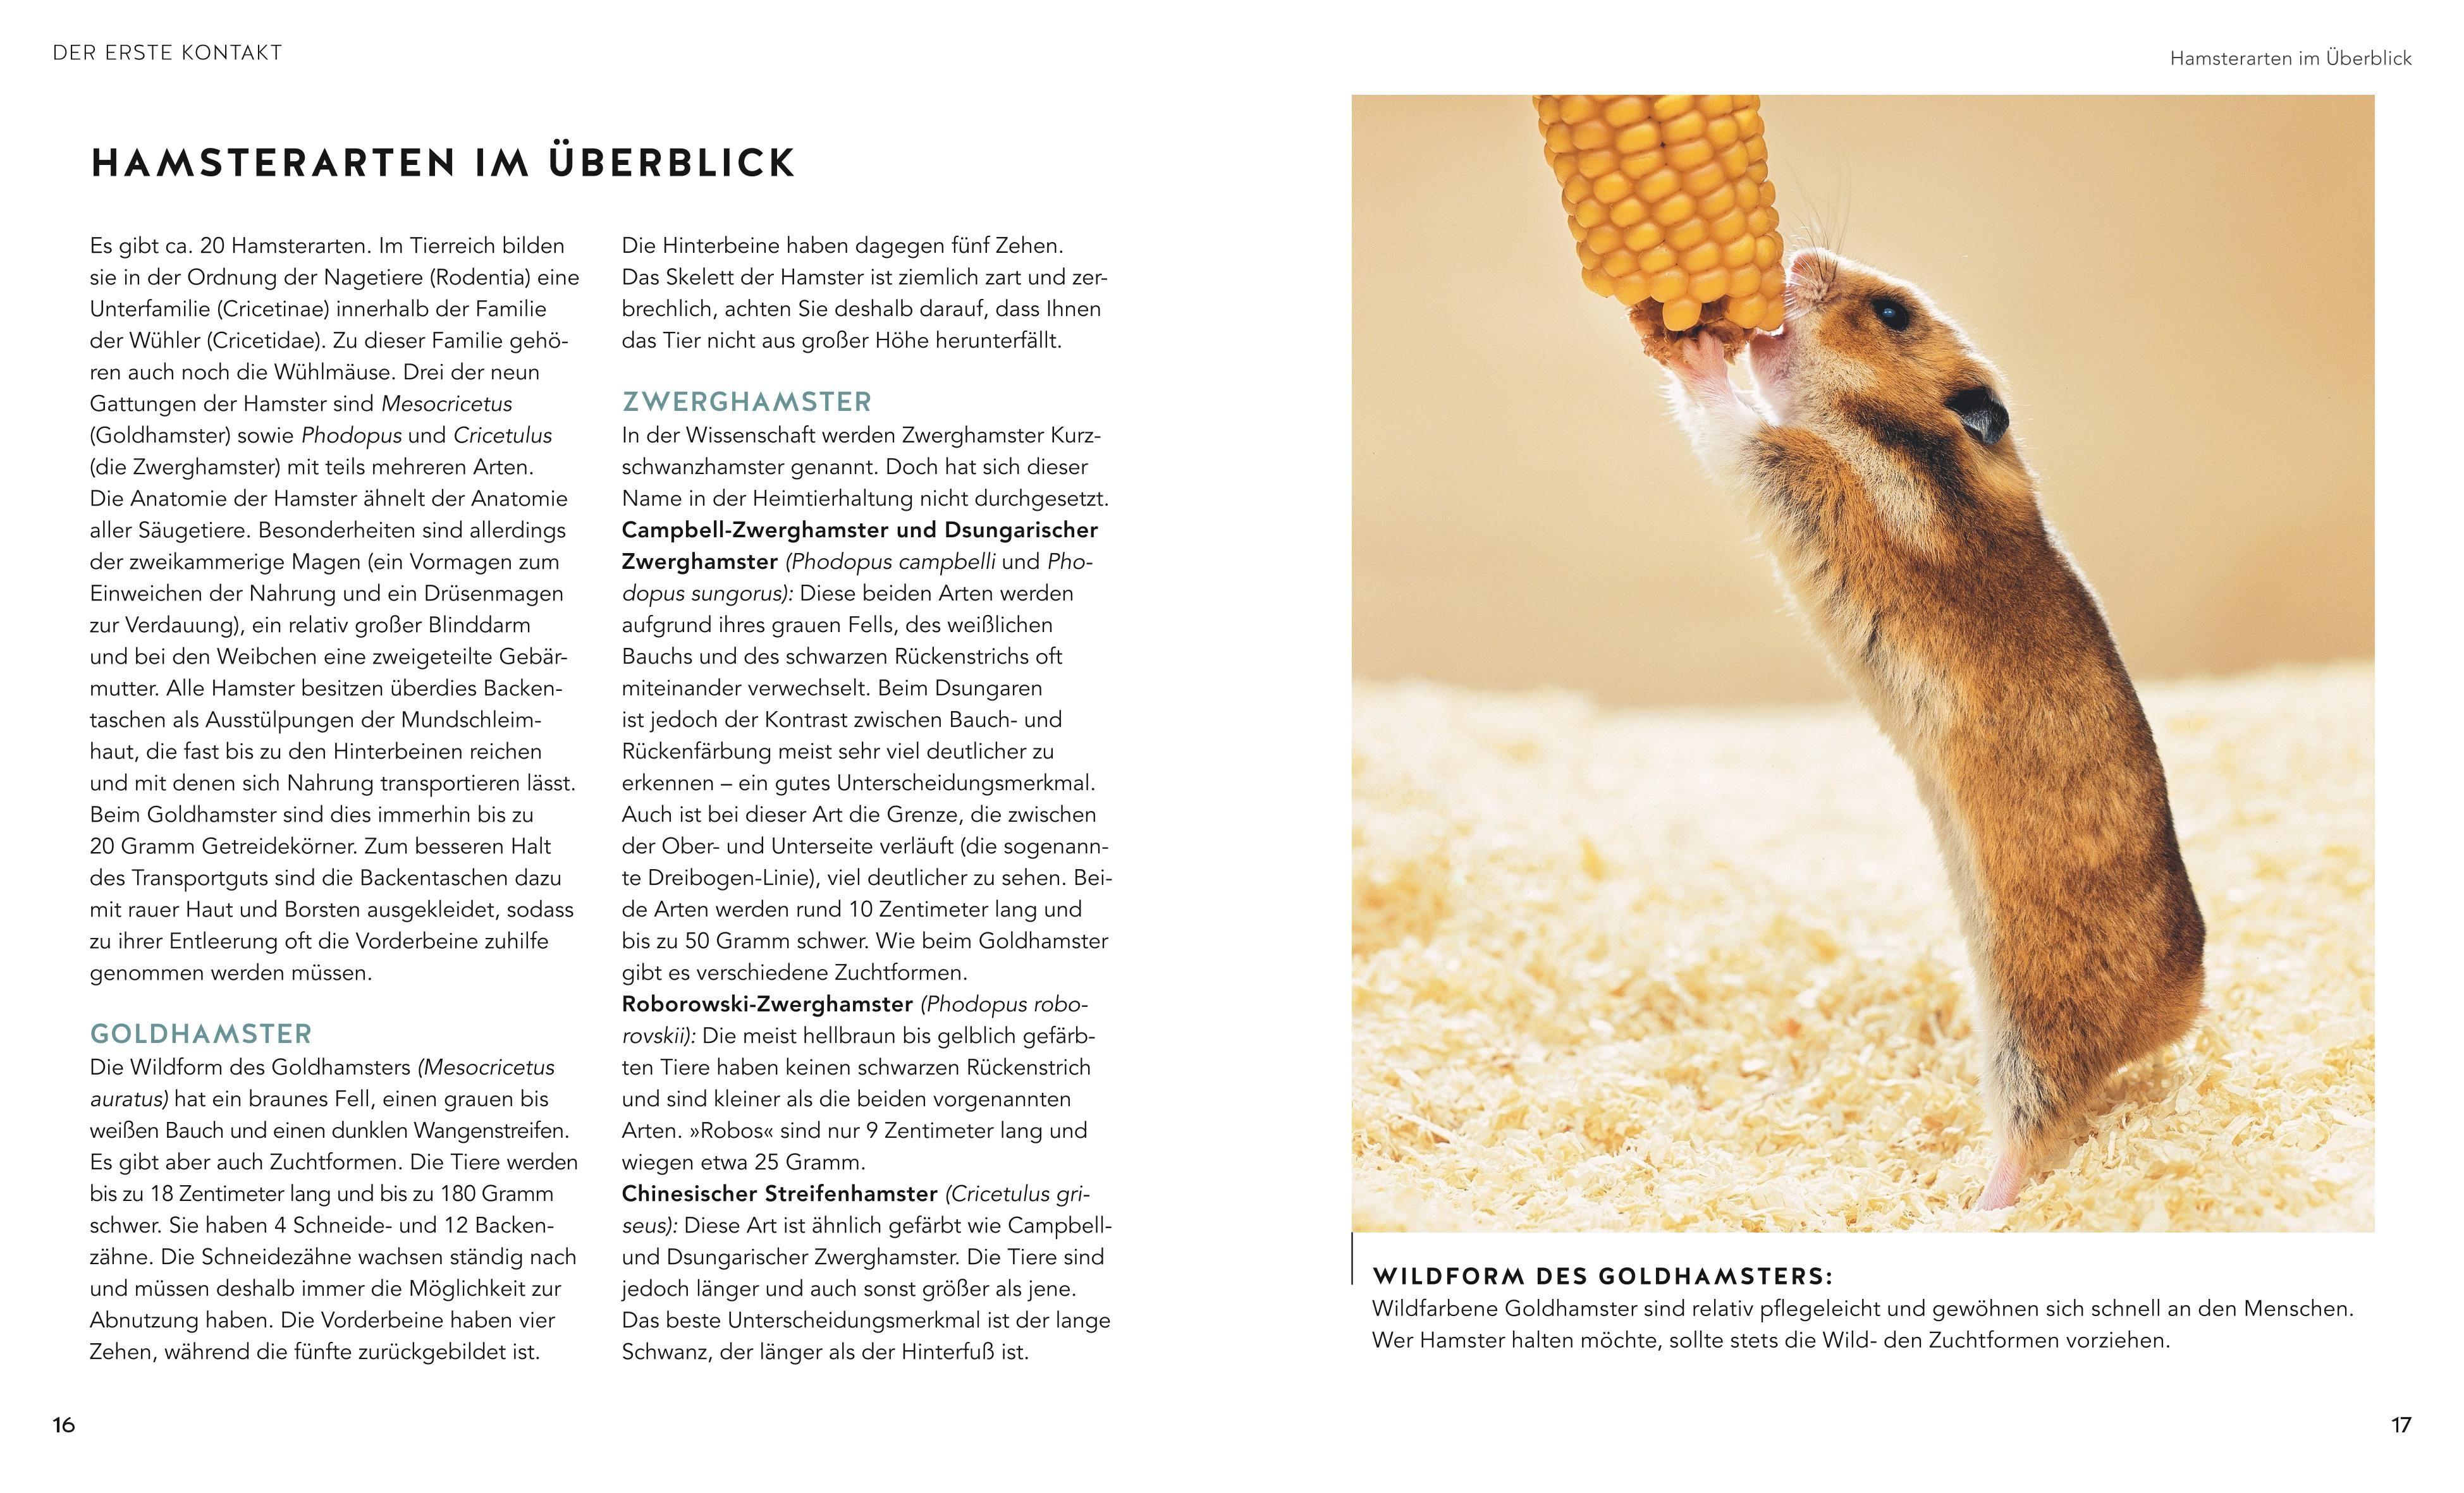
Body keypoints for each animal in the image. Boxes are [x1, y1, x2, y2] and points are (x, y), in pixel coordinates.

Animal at [1638, 248, 2205, 1211]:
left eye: (1893, 313)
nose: (1796, 259)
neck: (1906, 441)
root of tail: (2175, 1006)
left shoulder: (1799, 471)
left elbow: (1732, 420)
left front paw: (1703, 348)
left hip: (2029, 1031)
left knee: (2034, 1130)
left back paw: (1968, 1208)